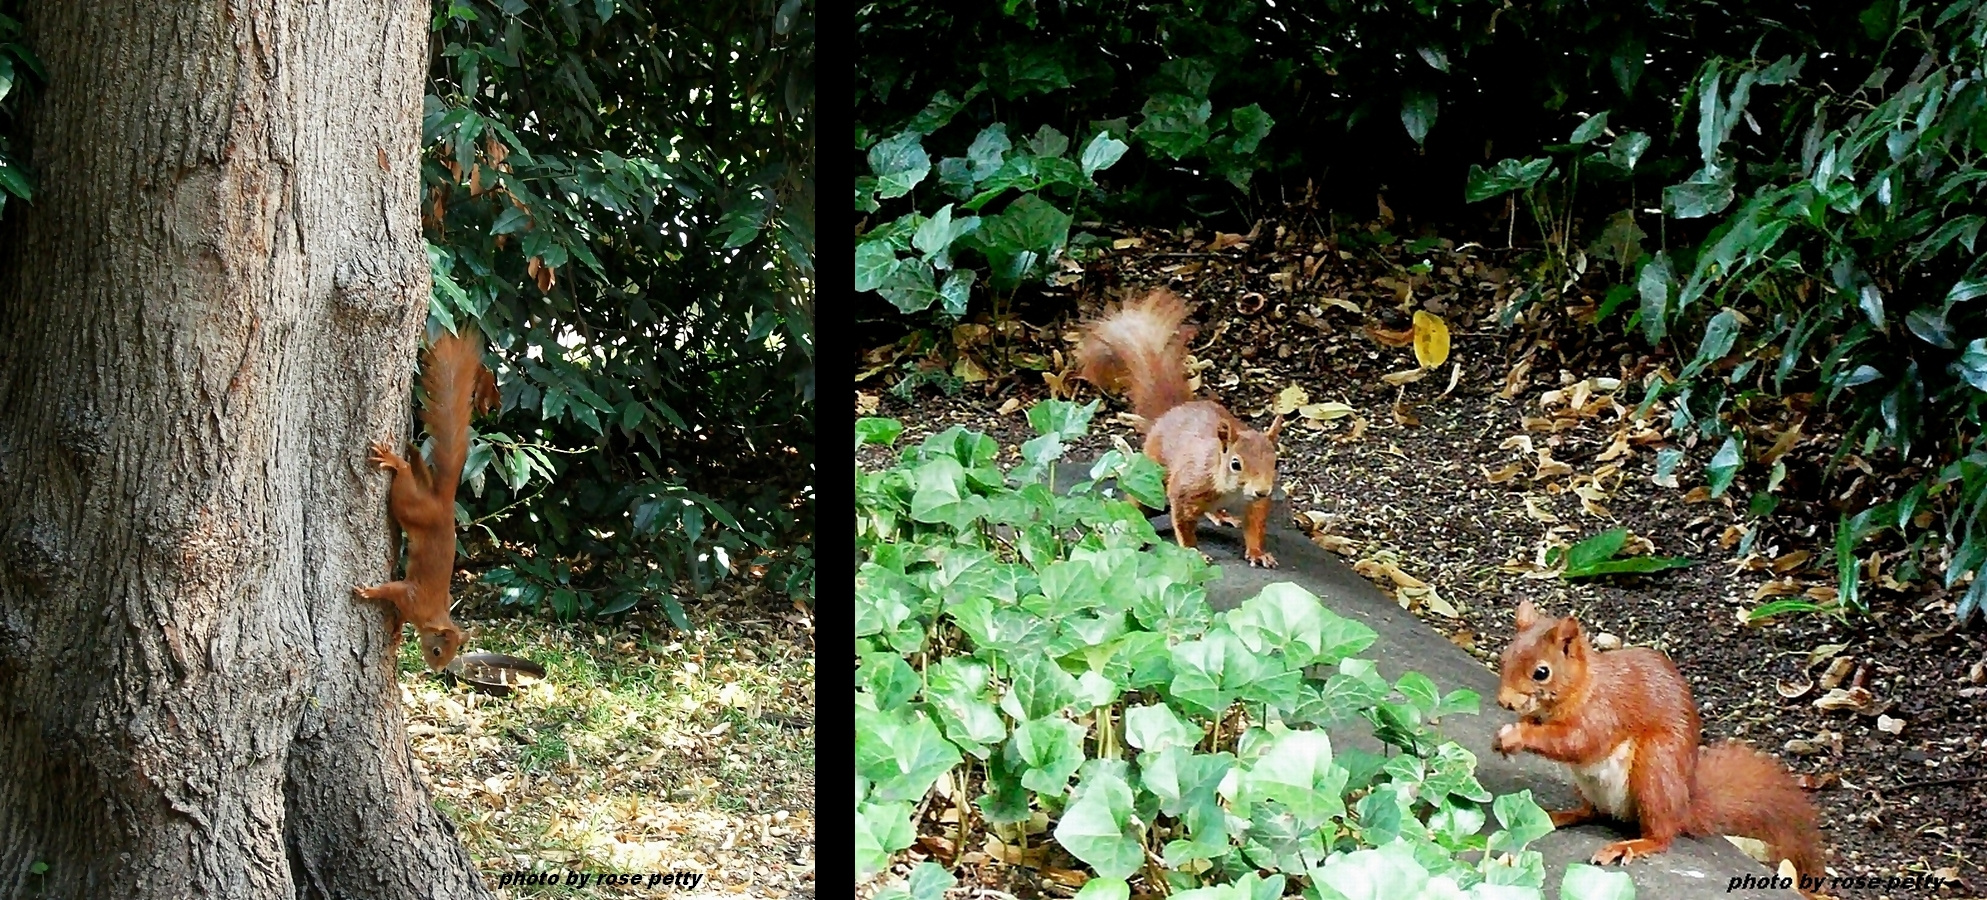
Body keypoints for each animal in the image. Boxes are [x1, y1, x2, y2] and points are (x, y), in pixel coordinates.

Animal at [355, 321, 500, 667]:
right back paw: (397, 460)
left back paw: (408, 453)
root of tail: (443, 504)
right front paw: (369, 593)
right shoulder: (412, 595)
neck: (433, 614)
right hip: (410, 505)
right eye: (437, 650)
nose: (436, 670)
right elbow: (391, 591)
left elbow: (398, 616)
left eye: (449, 655)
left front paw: (395, 632)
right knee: (405, 481)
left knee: (417, 472)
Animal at [1072, 292, 1287, 564]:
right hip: (1151, 473)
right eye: (1236, 464)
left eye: (1275, 462)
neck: (1231, 490)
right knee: (1138, 502)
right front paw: (1194, 553)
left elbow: (1255, 527)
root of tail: (1169, 413)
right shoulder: (1186, 488)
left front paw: (1258, 553)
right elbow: (1183, 523)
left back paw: (1221, 515)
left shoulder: (1255, 505)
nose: (1262, 490)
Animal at [1494, 600, 1820, 886]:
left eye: (1542, 672)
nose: (1504, 702)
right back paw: (1556, 816)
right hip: (1589, 786)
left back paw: (1630, 845)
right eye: (1504, 657)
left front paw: (1517, 736)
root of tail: (1684, 808)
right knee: (1592, 812)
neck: (1582, 685)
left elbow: (1577, 741)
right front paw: (1504, 737)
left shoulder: (1604, 712)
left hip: (1655, 771)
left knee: (1661, 835)